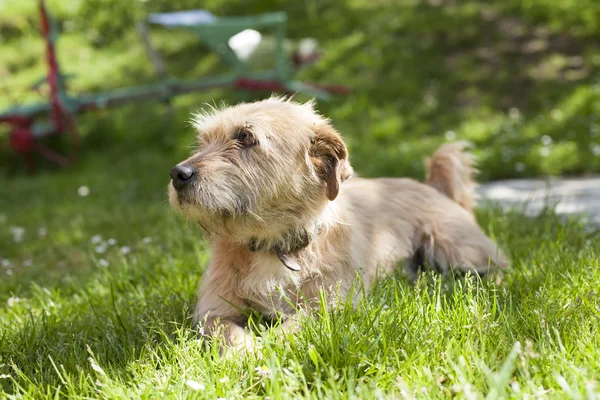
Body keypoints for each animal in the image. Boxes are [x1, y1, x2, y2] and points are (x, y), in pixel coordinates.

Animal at [168, 95, 506, 348]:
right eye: (202, 141)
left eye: (246, 137)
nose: (177, 174)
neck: (277, 245)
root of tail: (433, 187)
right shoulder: (214, 311)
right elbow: (229, 334)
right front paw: (247, 355)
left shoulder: (331, 305)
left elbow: (291, 328)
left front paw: (266, 354)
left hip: (456, 247)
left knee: (498, 266)